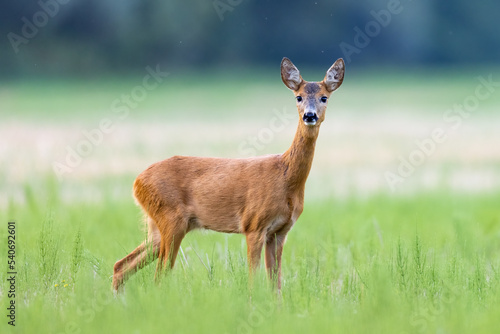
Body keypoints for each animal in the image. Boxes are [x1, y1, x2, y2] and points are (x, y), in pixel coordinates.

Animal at [113, 56, 344, 290]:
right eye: (298, 97)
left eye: (324, 97)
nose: (309, 115)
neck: (286, 177)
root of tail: (137, 182)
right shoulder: (253, 224)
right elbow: (253, 279)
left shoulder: (280, 231)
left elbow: (276, 284)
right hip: (171, 218)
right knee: (158, 275)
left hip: (157, 226)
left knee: (121, 265)